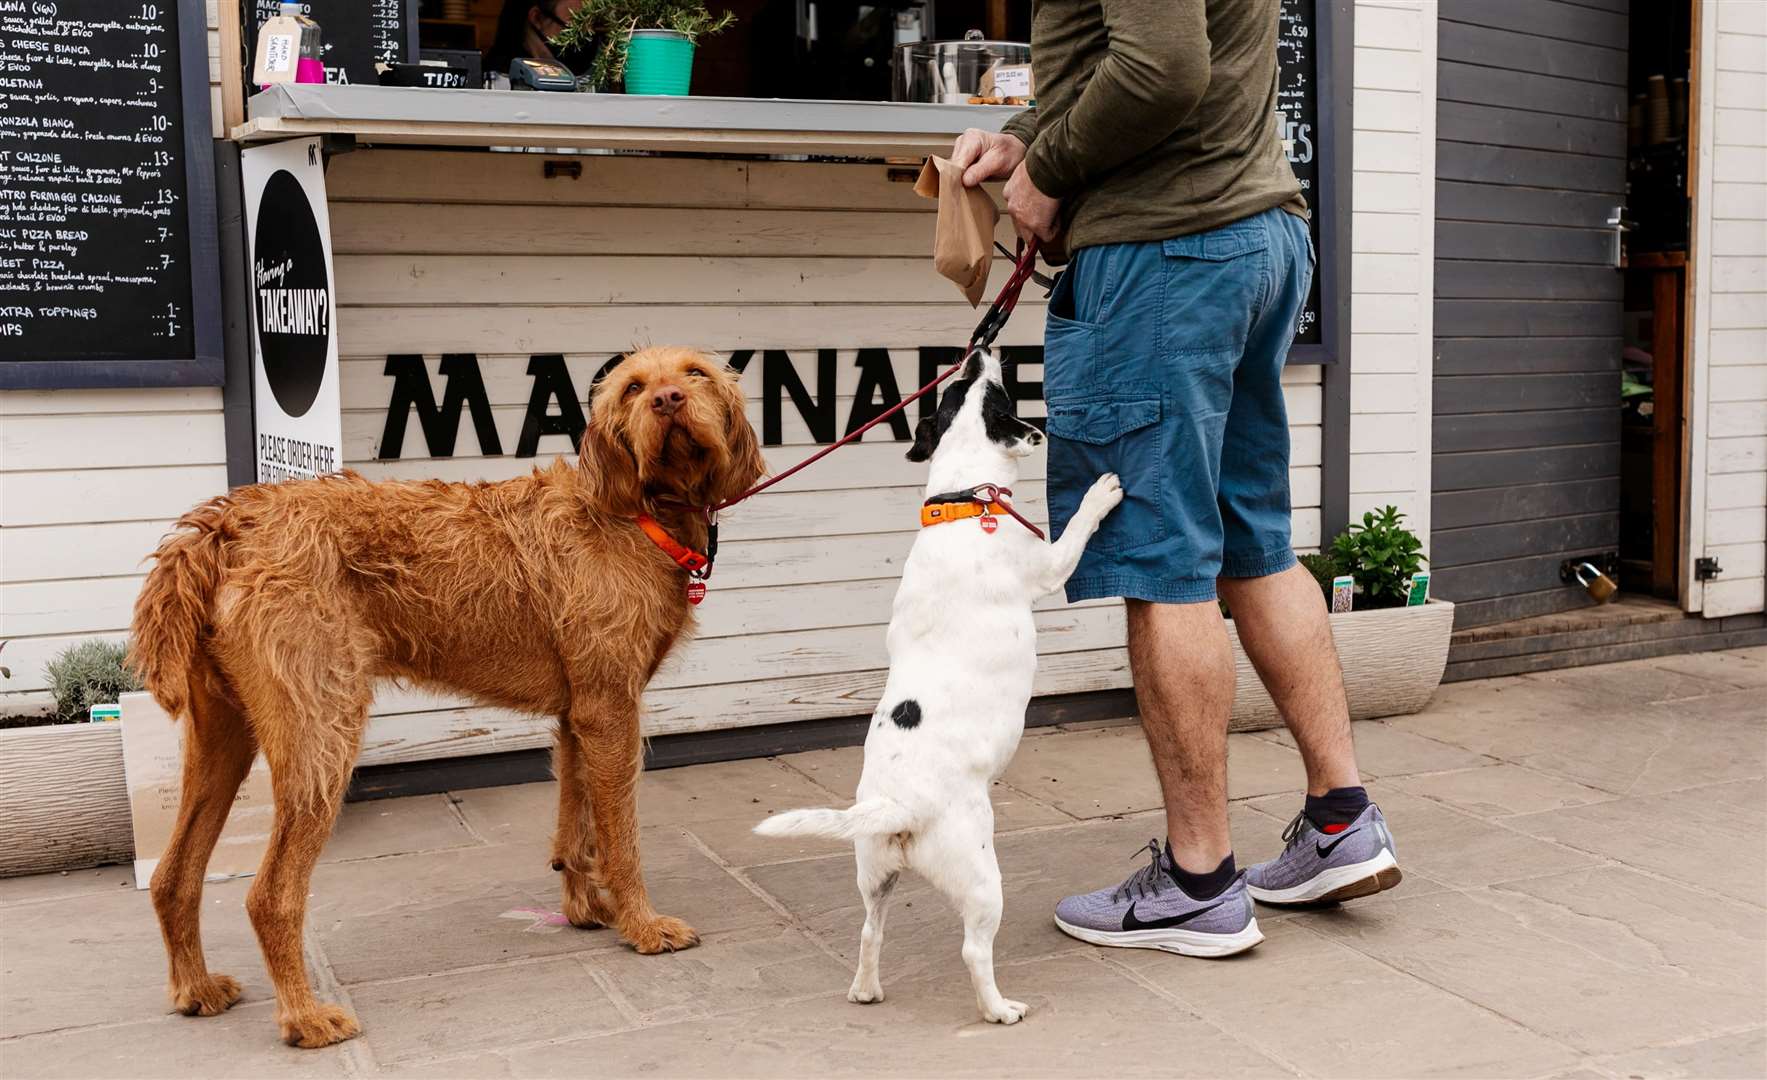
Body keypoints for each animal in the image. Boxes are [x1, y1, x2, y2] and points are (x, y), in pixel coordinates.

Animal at [124, 346, 759, 1046]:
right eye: (634, 388)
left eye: (696, 373)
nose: (668, 400)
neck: (634, 508)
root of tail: (223, 524)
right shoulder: (610, 708)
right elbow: (622, 836)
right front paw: (641, 926)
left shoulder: (580, 714)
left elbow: (577, 822)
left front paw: (587, 908)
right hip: (322, 733)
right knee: (269, 894)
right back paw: (307, 1018)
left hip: (222, 735)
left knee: (172, 876)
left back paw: (196, 989)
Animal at [752, 349, 1123, 1025]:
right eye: (985, 386)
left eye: (952, 388)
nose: (978, 350)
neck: (963, 501)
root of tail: (902, 808)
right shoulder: (1049, 566)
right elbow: (1076, 529)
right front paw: (1100, 492)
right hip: (981, 880)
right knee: (974, 950)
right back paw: (999, 1009)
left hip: (873, 873)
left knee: (869, 931)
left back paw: (866, 990)